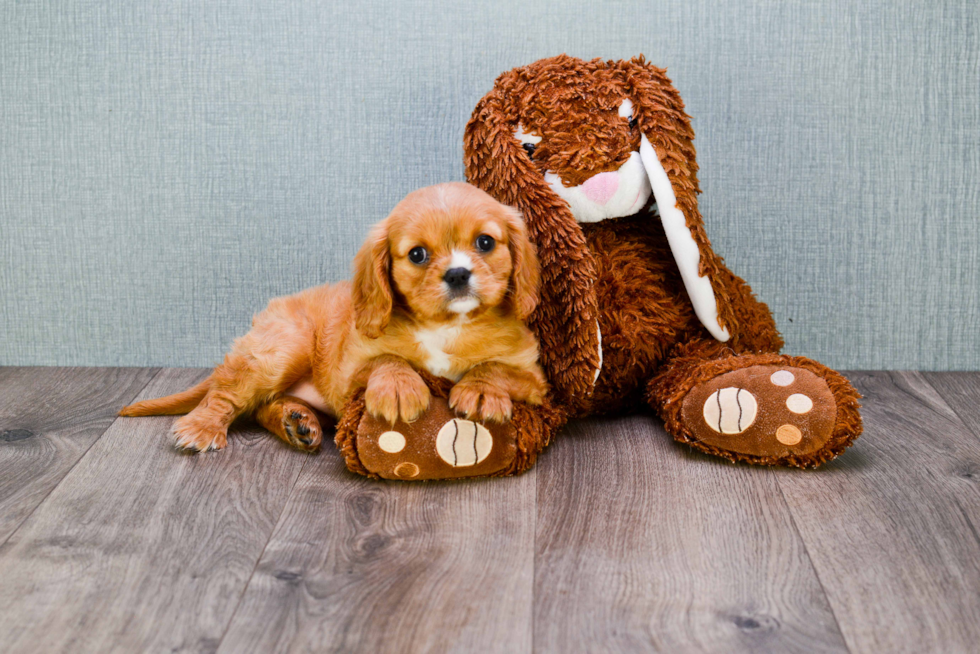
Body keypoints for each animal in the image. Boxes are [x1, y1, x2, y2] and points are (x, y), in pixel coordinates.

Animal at [119, 182, 548, 454]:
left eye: (485, 242)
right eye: (418, 254)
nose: (458, 274)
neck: (445, 326)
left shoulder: (536, 380)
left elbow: (496, 367)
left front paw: (481, 390)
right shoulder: (347, 372)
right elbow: (387, 358)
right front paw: (399, 385)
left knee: (259, 407)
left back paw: (296, 421)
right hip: (280, 349)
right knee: (226, 394)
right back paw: (202, 427)